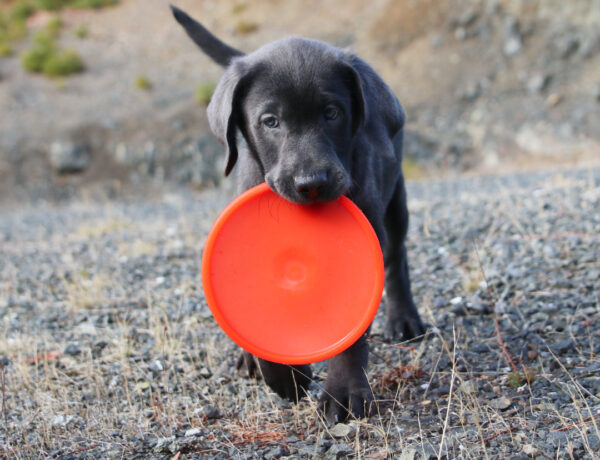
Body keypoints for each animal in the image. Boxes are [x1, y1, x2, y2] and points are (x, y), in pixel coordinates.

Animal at [171, 5, 426, 422]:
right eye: (270, 121)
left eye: (332, 113)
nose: (311, 183)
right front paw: (285, 376)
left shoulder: (366, 235)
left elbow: (351, 330)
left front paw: (344, 391)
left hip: (396, 199)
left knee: (395, 258)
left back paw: (404, 318)